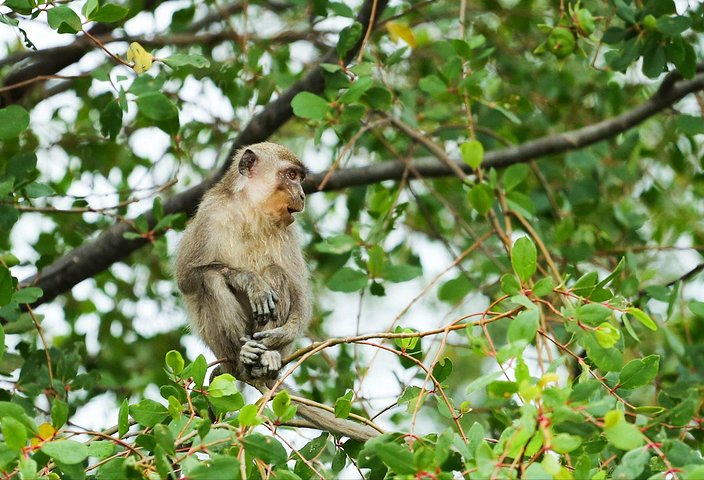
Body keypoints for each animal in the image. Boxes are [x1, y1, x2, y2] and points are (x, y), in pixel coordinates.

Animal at [174, 143, 382, 442]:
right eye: (291, 175)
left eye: (300, 178)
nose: (303, 194)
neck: (251, 211)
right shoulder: (210, 212)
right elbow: (187, 277)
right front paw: (250, 281)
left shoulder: (289, 231)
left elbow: (300, 293)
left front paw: (281, 333)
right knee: (210, 279)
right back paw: (244, 358)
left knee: (276, 273)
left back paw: (266, 359)